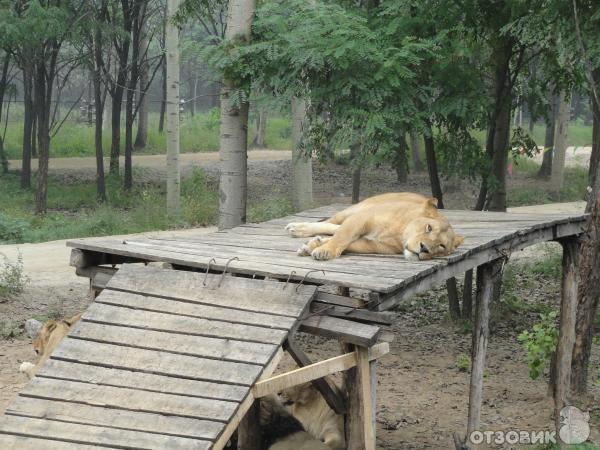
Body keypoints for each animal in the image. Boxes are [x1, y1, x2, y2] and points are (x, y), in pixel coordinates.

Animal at [286, 192, 464, 260]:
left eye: (441, 246)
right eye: (429, 228)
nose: (424, 249)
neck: (400, 233)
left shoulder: (373, 245)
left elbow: (348, 243)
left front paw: (313, 247)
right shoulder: (363, 218)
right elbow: (342, 237)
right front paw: (324, 251)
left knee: (333, 228)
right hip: (354, 210)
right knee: (329, 223)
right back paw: (297, 228)